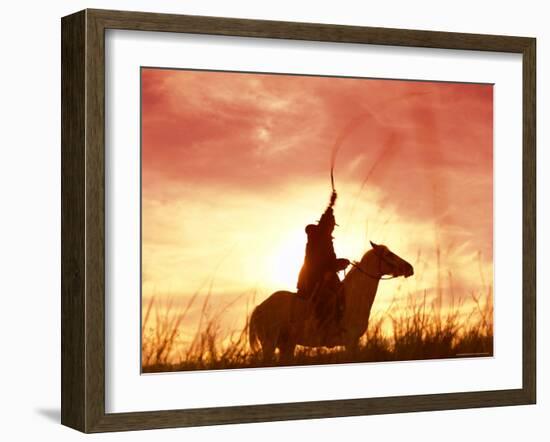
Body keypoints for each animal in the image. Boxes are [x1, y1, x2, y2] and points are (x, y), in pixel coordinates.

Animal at [250, 242, 414, 362]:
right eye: (389, 254)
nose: (410, 268)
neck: (354, 297)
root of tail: (259, 307)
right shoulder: (350, 341)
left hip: (286, 346)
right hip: (269, 344)